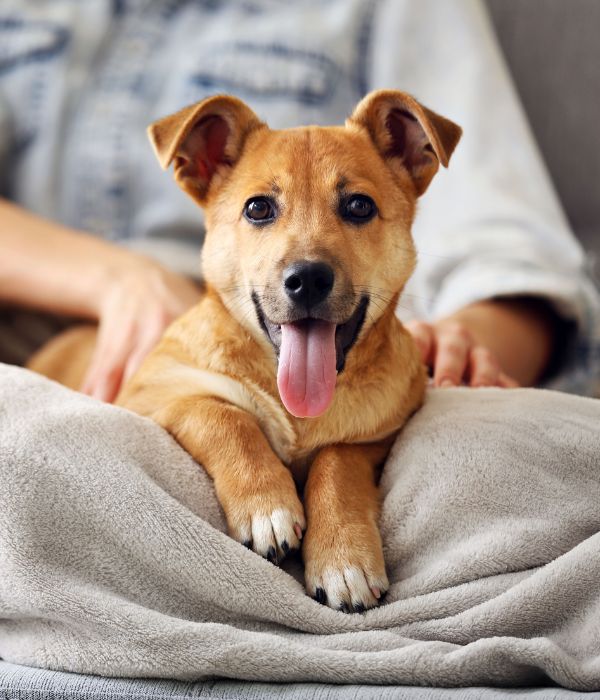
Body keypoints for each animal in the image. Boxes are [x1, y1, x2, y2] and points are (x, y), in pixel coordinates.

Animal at [28, 90, 462, 608]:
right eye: (258, 208)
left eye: (359, 206)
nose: (307, 279)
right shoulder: (150, 394)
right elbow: (224, 416)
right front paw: (266, 507)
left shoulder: (380, 434)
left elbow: (339, 461)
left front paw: (344, 558)